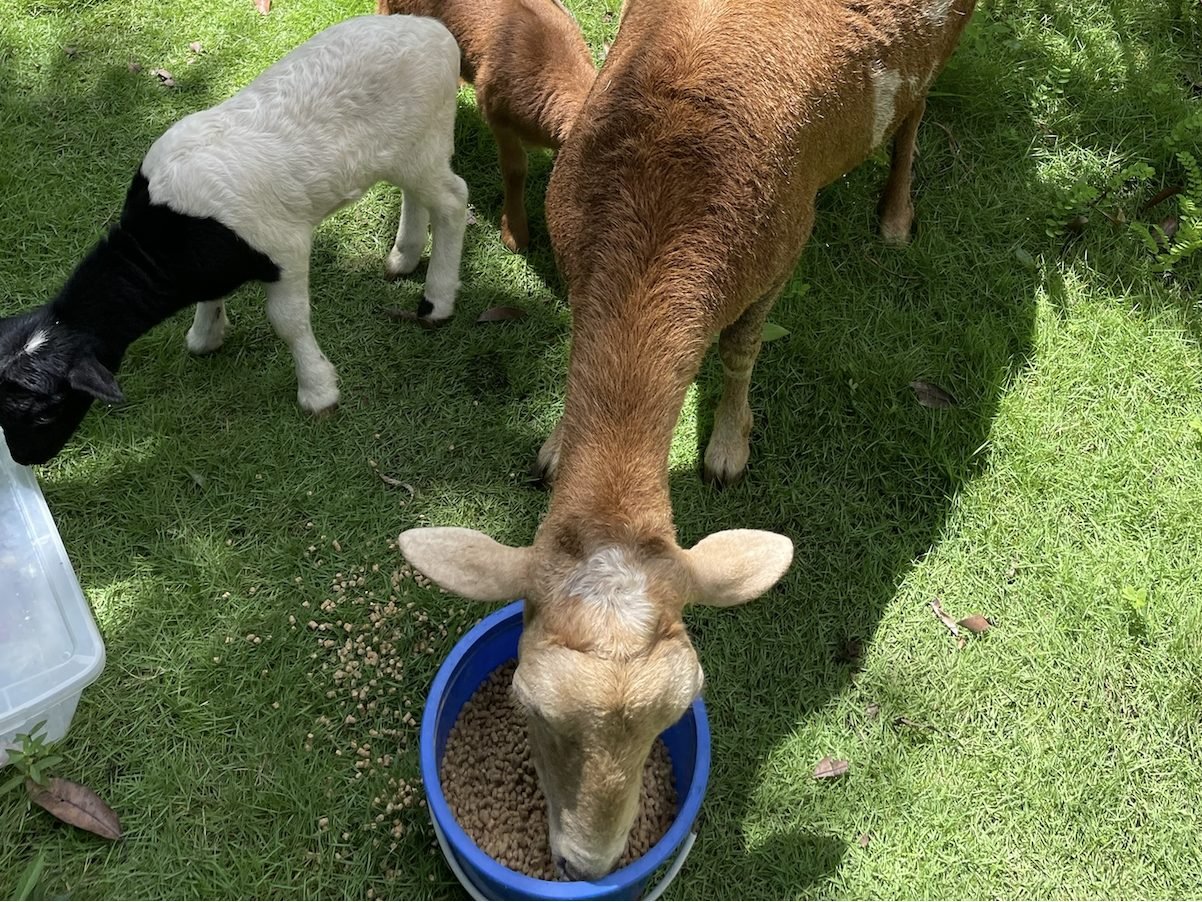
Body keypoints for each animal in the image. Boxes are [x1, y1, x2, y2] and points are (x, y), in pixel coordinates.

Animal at [0, 14, 467, 466]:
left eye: (45, 410)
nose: (25, 459)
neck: (165, 239)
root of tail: (434, 31)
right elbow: (212, 297)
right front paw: (206, 336)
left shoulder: (283, 248)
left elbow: (289, 323)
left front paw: (318, 391)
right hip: (405, 151)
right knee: (416, 195)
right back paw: (402, 258)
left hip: (426, 141)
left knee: (453, 201)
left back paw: (436, 301)